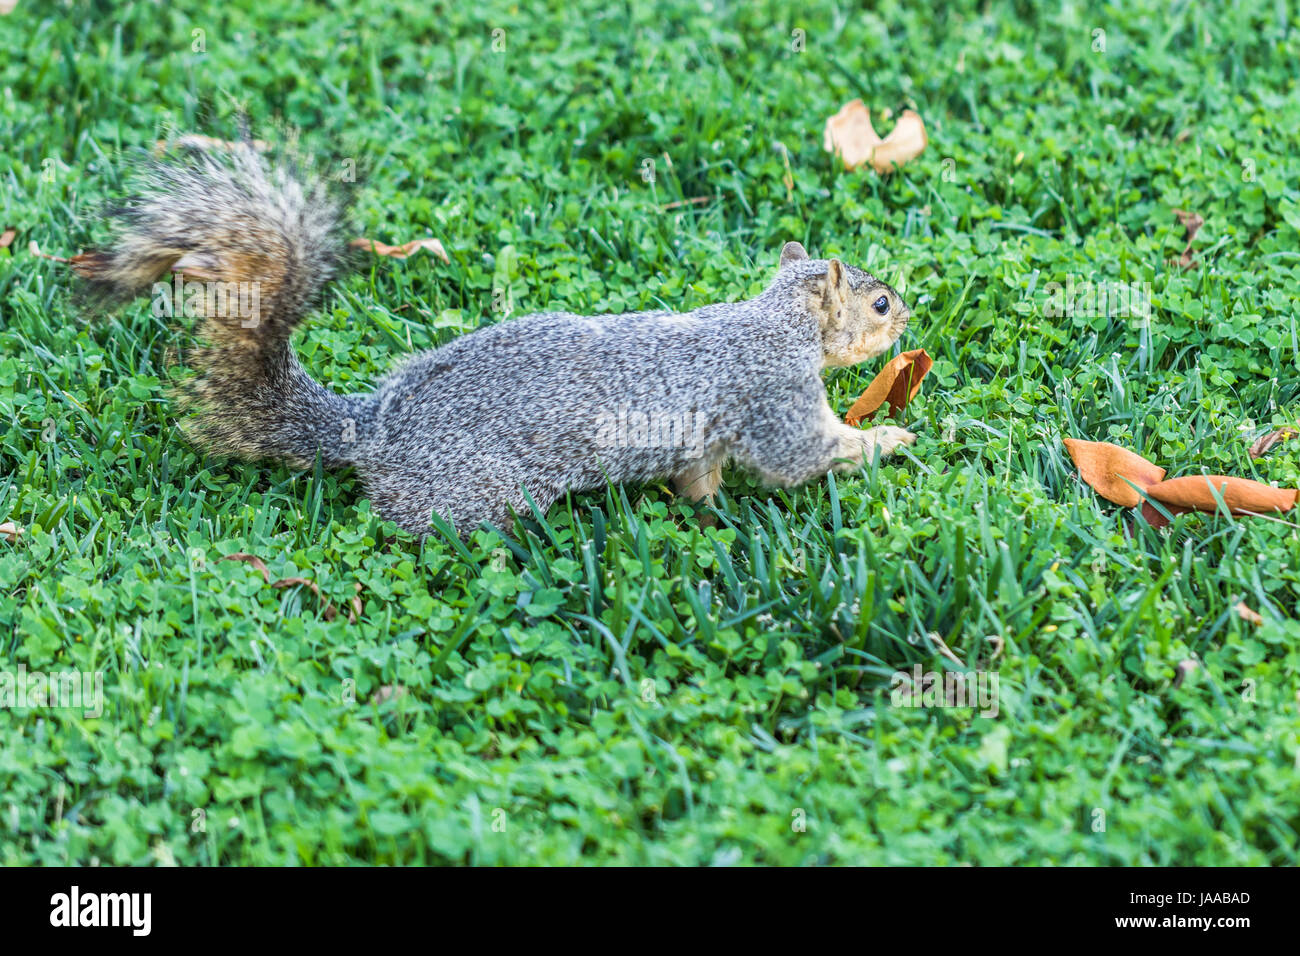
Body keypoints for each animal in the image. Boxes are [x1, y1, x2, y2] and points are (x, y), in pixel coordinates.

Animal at [76, 139, 920, 535]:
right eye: (879, 304)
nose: (910, 315)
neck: (772, 318)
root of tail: (377, 430)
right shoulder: (775, 393)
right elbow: (800, 454)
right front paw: (887, 440)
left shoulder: (708, 433)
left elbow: (701, 475)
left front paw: (707, 512)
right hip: (472, 490)